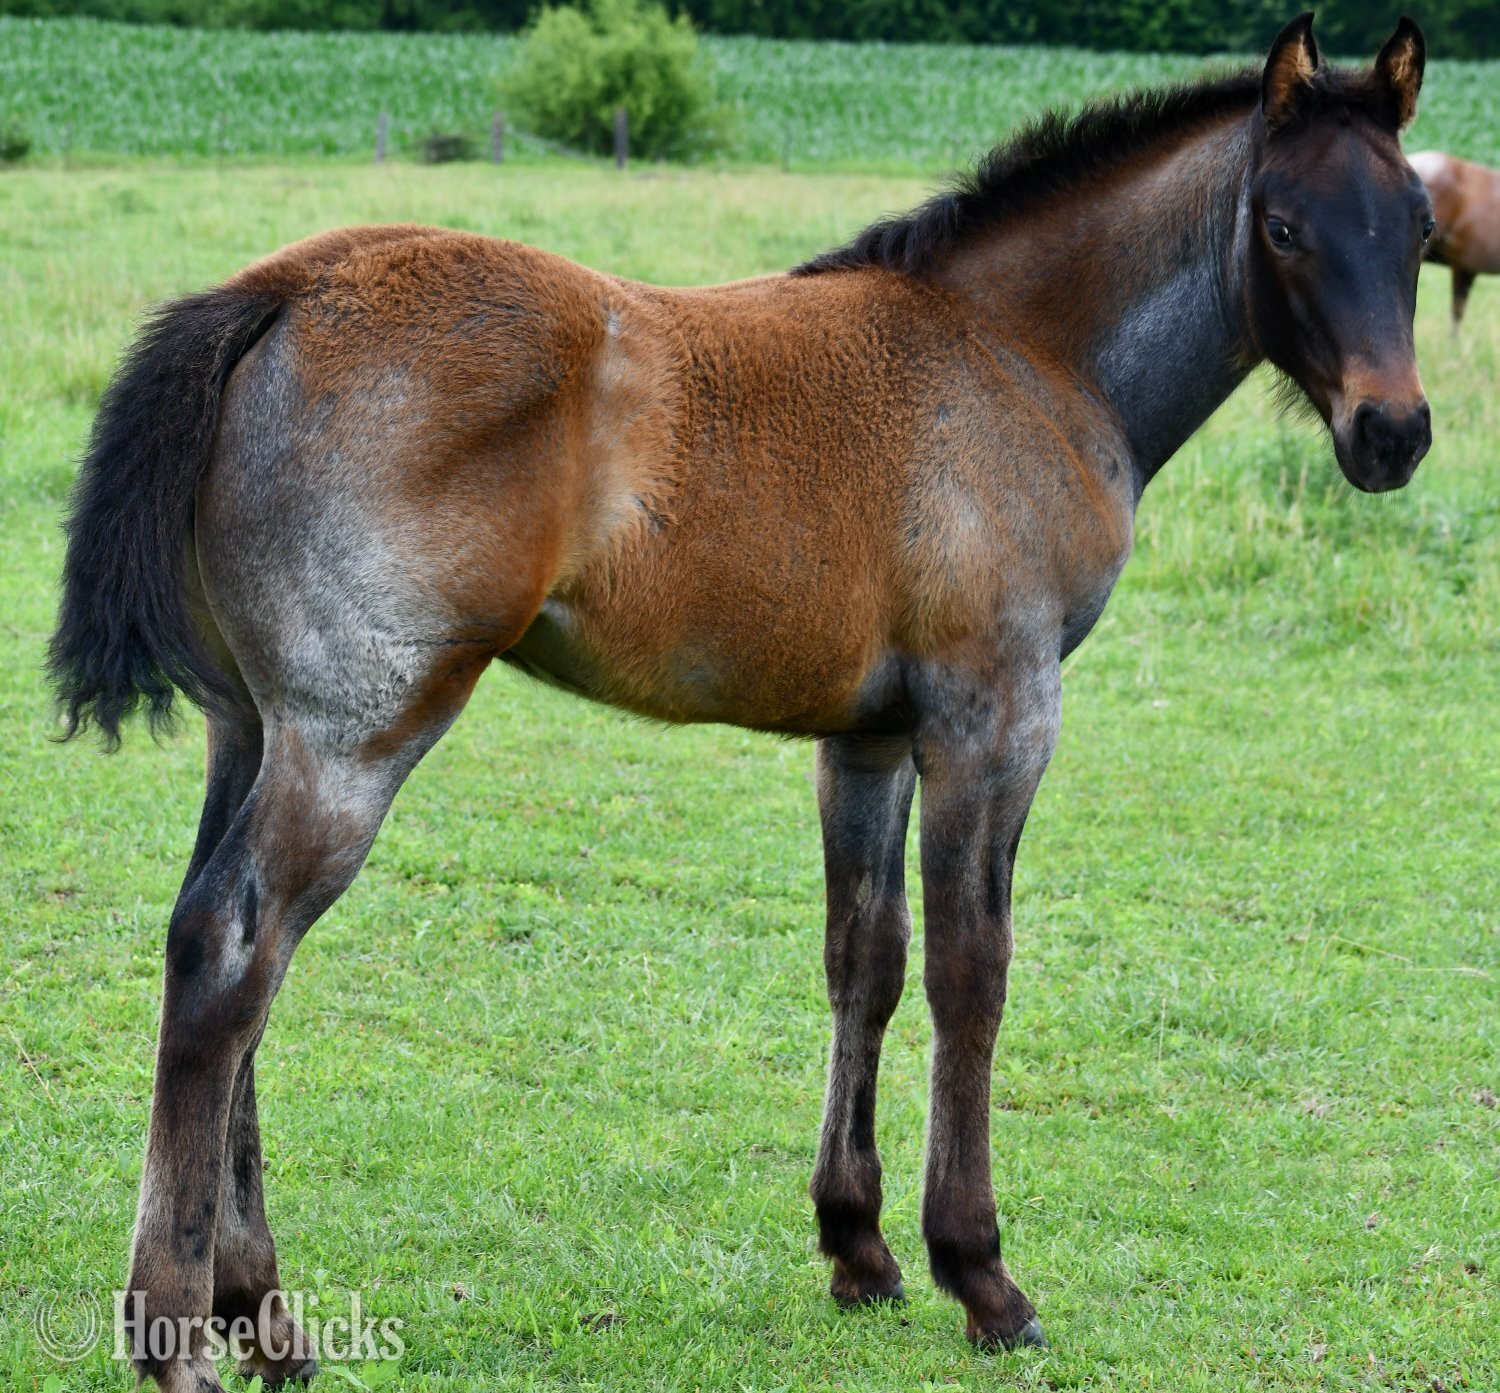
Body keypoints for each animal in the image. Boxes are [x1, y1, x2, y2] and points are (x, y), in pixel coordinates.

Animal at [49, 14, 1432, 1390]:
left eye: (1420, 225)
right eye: (1284, 227)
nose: (1395, 433)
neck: (1024, 357)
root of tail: (279, 290)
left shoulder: (868, 740)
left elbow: (866, 959)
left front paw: (860, 1248)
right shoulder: (996, 715)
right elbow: (971, 971)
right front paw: (981, 1274)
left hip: (251, 730)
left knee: (219, 952)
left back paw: (266, 1317)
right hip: (357, 735)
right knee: (234, 955)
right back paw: (180, 1336)